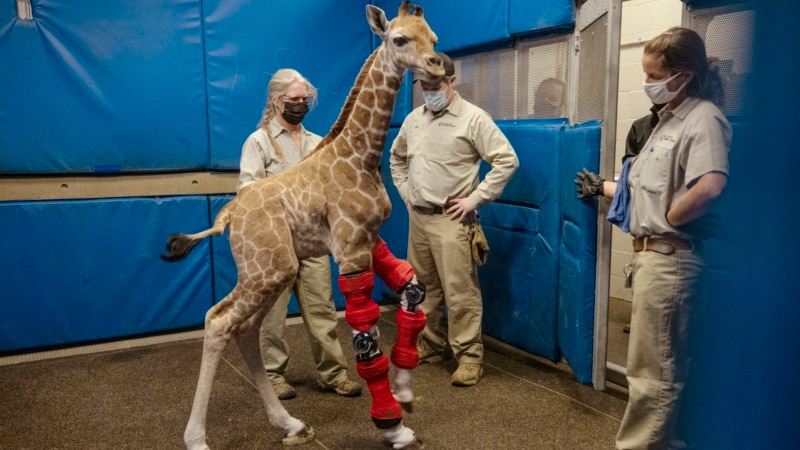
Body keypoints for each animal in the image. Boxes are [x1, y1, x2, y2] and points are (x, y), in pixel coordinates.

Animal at [160, 3, 442, 449]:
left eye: (432, 37)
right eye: (399, 39)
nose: (439, 65)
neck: (360, 156)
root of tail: (228, 216)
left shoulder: (367, 239)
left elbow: (412, 291)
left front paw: (404, 391)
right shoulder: (350, 248)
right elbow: (366, 338)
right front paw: (393, 426)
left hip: (275, 271)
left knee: (245, 329)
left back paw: (290, 423)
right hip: (268, 269)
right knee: (219, 320)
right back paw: (197, 438)